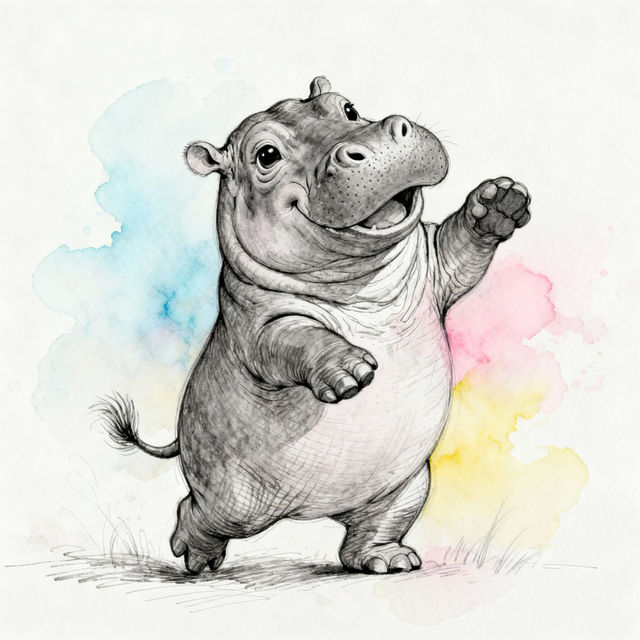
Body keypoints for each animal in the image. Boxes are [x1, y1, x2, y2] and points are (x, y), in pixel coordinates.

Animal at [99, 76, 531, 575]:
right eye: (266, 155)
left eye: (348, 107)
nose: (378, 137)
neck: (361, 283)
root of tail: (311, 508)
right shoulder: (257, 322)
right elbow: (294, 337)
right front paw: (351, 370)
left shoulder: (437, 267)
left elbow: (461, 245)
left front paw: (499, 201)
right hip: (235, 499)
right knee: (201, 511)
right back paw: (196, 560)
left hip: (405, 482)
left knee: (375, 524)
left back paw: (387, 560)